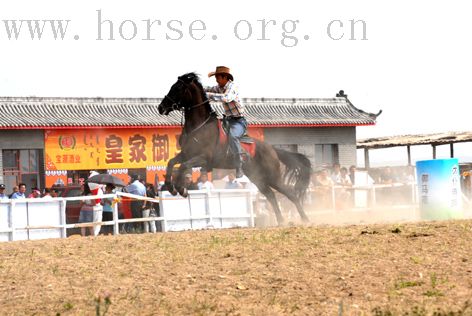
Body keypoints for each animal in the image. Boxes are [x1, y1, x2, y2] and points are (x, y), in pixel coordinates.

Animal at [159, 72, 314, 223]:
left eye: (177, 88)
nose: (161, 107)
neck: (200, 127)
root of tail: (272, 149)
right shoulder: (186, 154)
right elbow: (171, 163)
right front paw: (171, 187)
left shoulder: (203, 158)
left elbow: (183, 166)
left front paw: (181, 189)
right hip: (257, 177)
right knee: (271, 195)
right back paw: (281, 222)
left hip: (273, 176)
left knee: (290, 193)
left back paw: (305, 220)